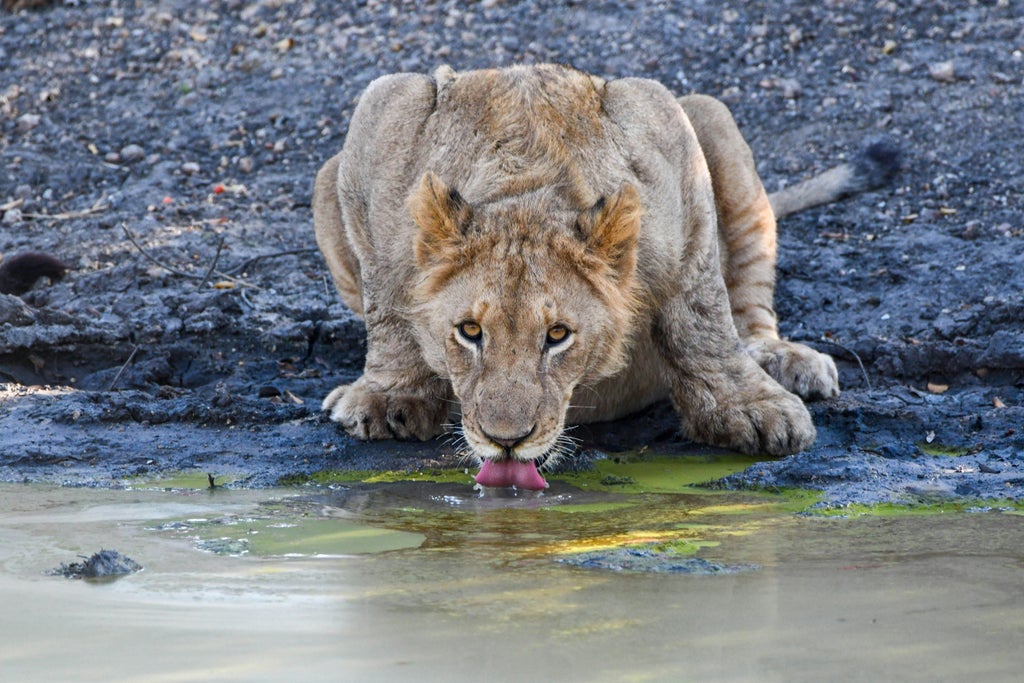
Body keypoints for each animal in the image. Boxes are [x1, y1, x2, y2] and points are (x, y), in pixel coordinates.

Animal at [311, 63, 897, 489]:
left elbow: (702, 308)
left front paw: (750, 408)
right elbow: (385, 299)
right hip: (324, 175)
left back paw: (784, 360)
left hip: (710, 117)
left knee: (748, 303)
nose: (506, 441)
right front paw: (388, 399)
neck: (525, 189)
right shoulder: (386, 114)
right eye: (470, 332)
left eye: (558, 335)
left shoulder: (663, 128)